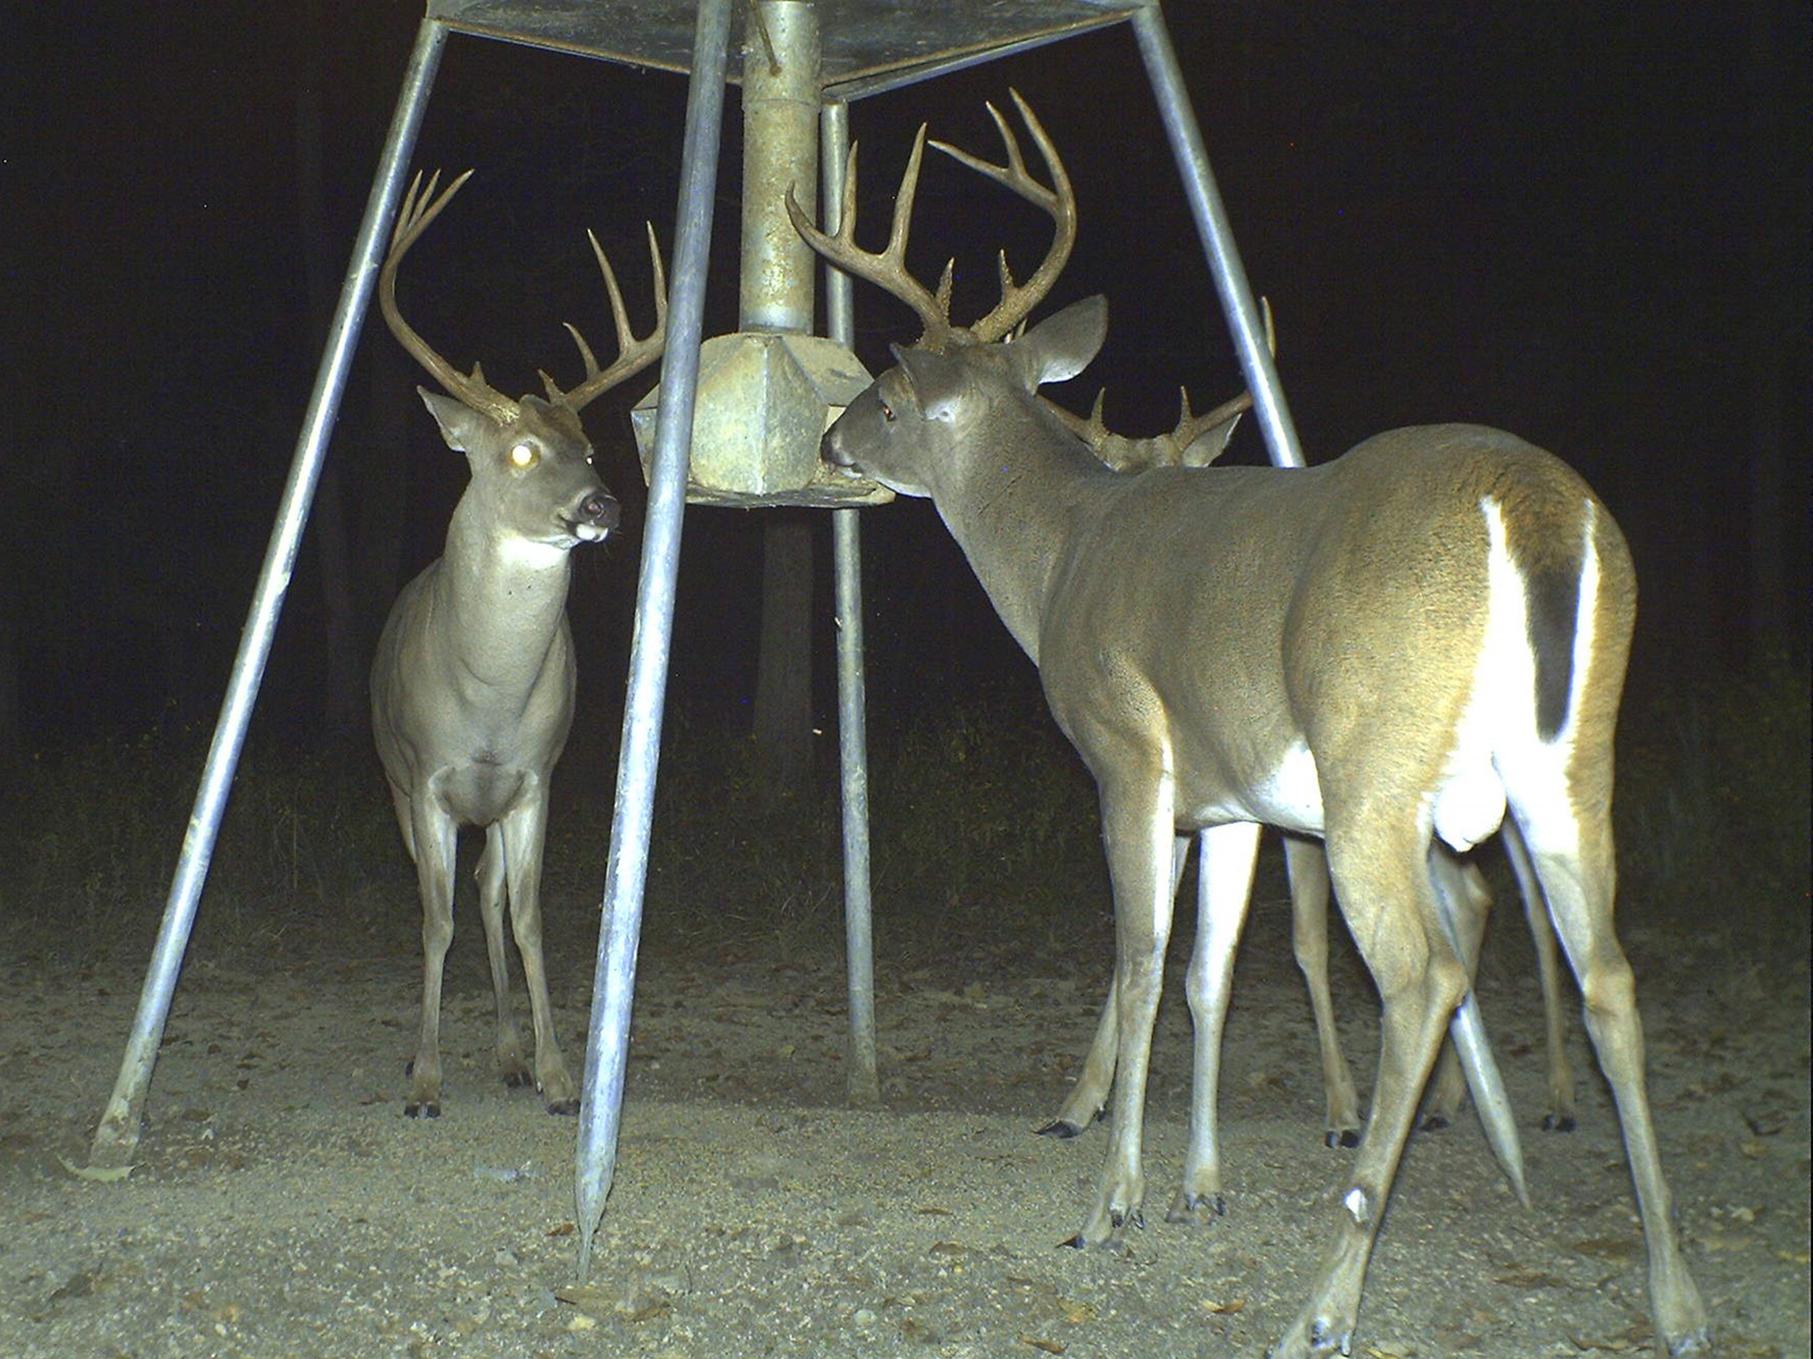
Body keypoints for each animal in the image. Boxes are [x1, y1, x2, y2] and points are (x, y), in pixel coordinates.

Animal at [373, 175, 667, 1123]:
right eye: (523, 451)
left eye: (591, 446)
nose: (603, 504)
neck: (487, 701)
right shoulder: (426, 777)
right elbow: (432, 921)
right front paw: (424, 1081)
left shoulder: (536, 776)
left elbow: (529, 917)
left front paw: (558, 1074)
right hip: (397, 784)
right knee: (451, 900)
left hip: (496, 807)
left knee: (488, 894)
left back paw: (505, 1054)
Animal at [786, 98, 1704, 1359]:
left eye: (882, 395)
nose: (826, 441)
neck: (1057, 556)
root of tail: (1535, 509)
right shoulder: (1228, 803)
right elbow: (1208, 976)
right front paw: (1199, 1187)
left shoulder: (1129, 758)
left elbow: (1139, 959)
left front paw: (1110, 1200)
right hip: (1573, 763)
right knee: (1608, 972)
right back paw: (1675, 1297)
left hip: (1375, 770)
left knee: (1425, 978)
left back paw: (1327, 1298)